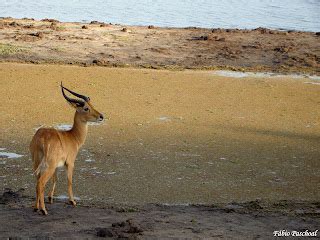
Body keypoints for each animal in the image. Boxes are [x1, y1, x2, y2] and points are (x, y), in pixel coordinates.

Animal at [29, 83, 103, 216]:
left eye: (92, 104)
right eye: (86, 108)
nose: (101, 116)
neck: (73, 137)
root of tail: (41, 138)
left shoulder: (56, 167)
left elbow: (55, 179)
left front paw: (50, 198)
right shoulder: (70, 163)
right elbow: (69, 181)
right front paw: (72, 201)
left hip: (37, 163)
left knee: (37, 182)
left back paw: (36, 207)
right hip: (49, 165)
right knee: (41, 183)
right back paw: (43, 210)